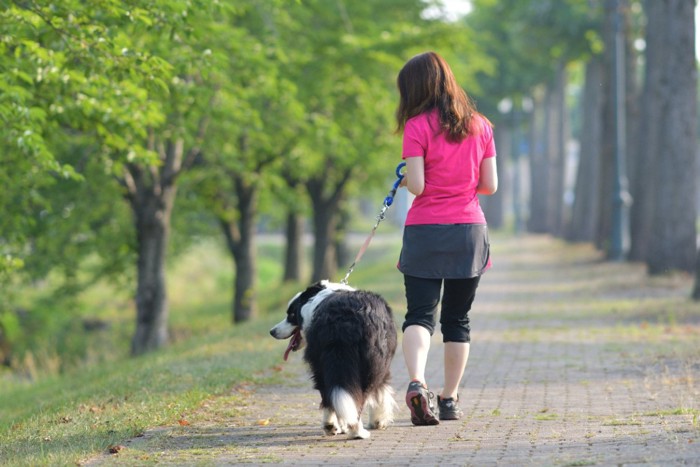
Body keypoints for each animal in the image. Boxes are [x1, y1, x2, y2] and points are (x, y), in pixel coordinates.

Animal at [270, 282, 396, 438]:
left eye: (291, 315)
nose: (272, 332)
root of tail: (340, 319)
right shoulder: (383, 367)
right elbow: (381, 392)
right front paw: (378, 421)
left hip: (324, 362)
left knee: (328, 392)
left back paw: (333, 426)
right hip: (370, 364)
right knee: (359, 395)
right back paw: (355, 430)